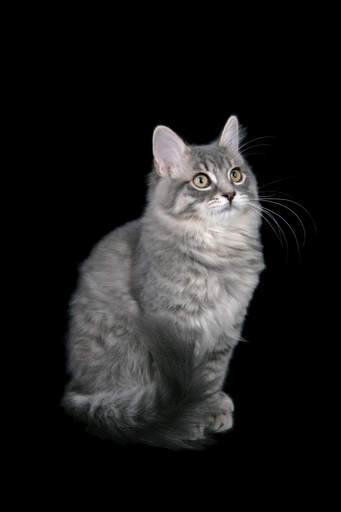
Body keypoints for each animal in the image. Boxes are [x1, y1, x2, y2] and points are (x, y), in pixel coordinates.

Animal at [61, 115, 264, 448]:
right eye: (201, 181)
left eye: (236, 175)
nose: (230, 194)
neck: (216, 250)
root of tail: (77, 389)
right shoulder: (171, 325)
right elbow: (182, 385)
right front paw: (190, 418)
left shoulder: (227, 327)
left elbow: (211, 376)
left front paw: (212, 408)